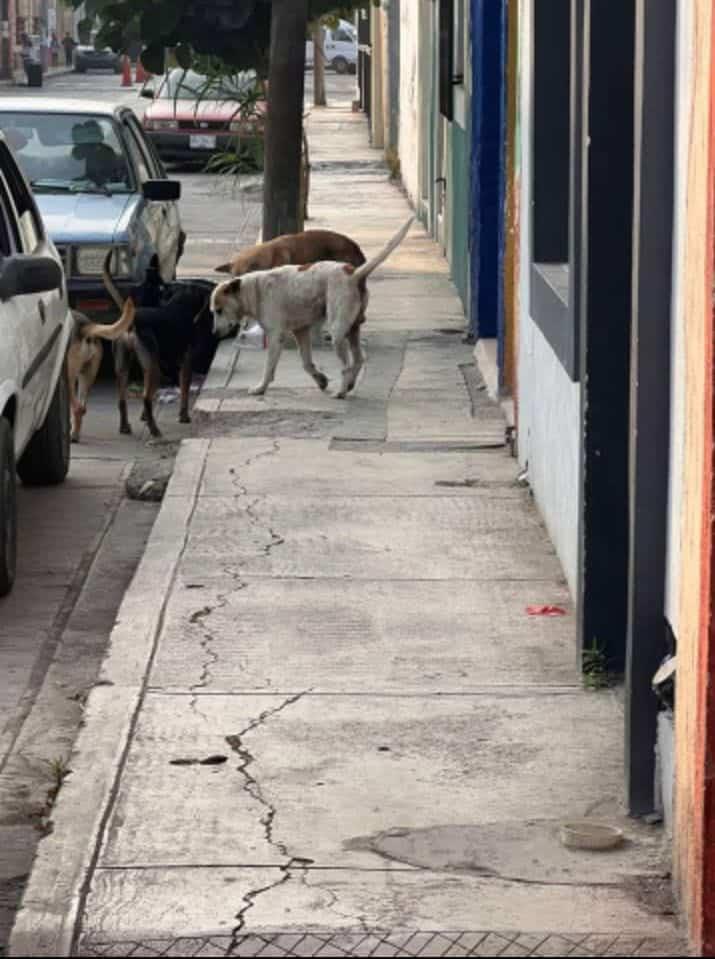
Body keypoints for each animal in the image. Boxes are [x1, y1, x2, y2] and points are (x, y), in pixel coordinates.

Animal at [67, 300, 136, 442]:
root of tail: (85, 326)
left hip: (69, 378)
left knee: (76, 408)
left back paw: (73, 436)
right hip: (87, 376)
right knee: (82, 408)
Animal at [103, 255, 215, 438]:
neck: (180, 304)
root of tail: (133, 322)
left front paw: (143, 417)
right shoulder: (186, 362)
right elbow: (184, 390)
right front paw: (184, 416)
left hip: (124, 367)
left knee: (122, 400)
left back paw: (125, 427)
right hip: (153, 369)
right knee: (146, 398)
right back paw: (154, 430)